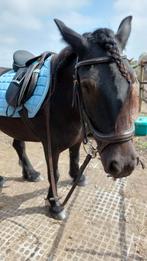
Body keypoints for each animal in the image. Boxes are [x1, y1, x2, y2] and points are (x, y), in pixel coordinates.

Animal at [0, 16, 139, 218]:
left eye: (132, 79)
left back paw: (31, 174)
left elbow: (75, 159)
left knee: (18, 145)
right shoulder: (51, 146)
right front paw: (55, 204)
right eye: (87, 85)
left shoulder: (77, 138)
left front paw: (77, 178)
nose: (124, 164)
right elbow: (55, 174)